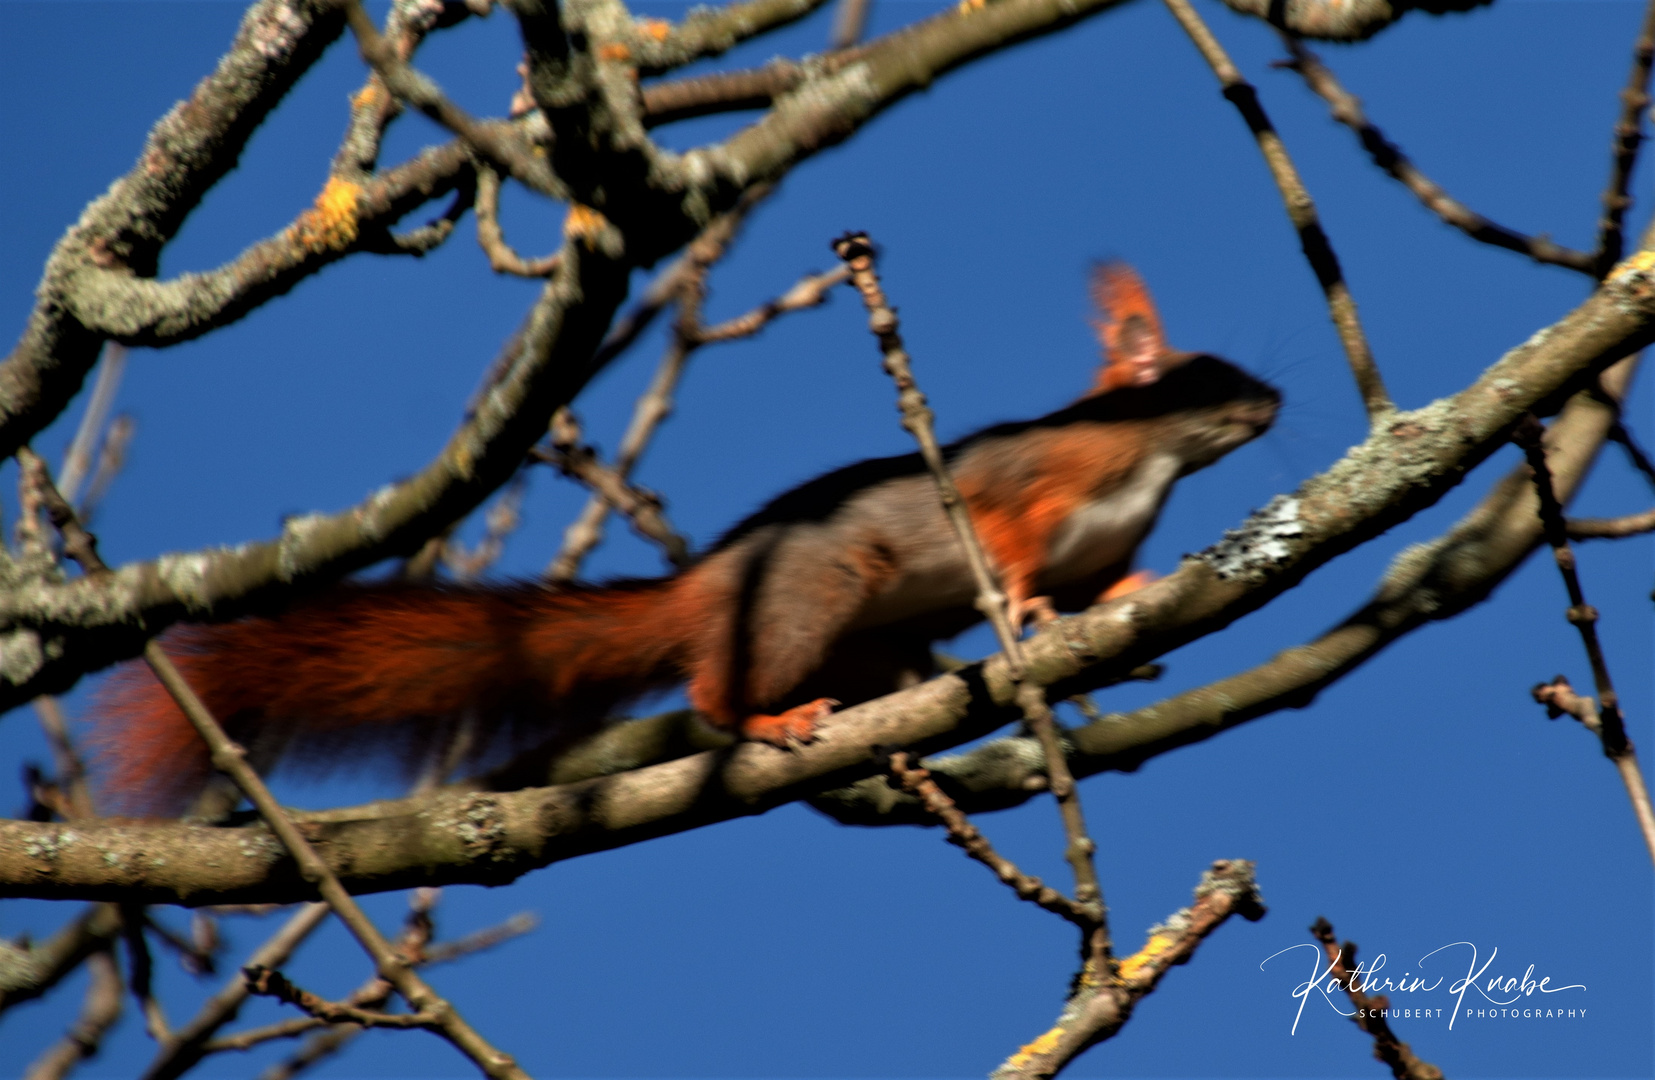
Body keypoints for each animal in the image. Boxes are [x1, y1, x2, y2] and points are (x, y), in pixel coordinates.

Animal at [93, 264, 1277, 813]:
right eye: (1198, 377)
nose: (1270, 402)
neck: (1148, 459)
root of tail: (705, 589)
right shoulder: (1029, 485)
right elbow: (1011, 545)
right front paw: (1025, 604)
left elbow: (1097, 583)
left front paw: (1133, 590)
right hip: (809, 597)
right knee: (711, 696)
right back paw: (768, 719)